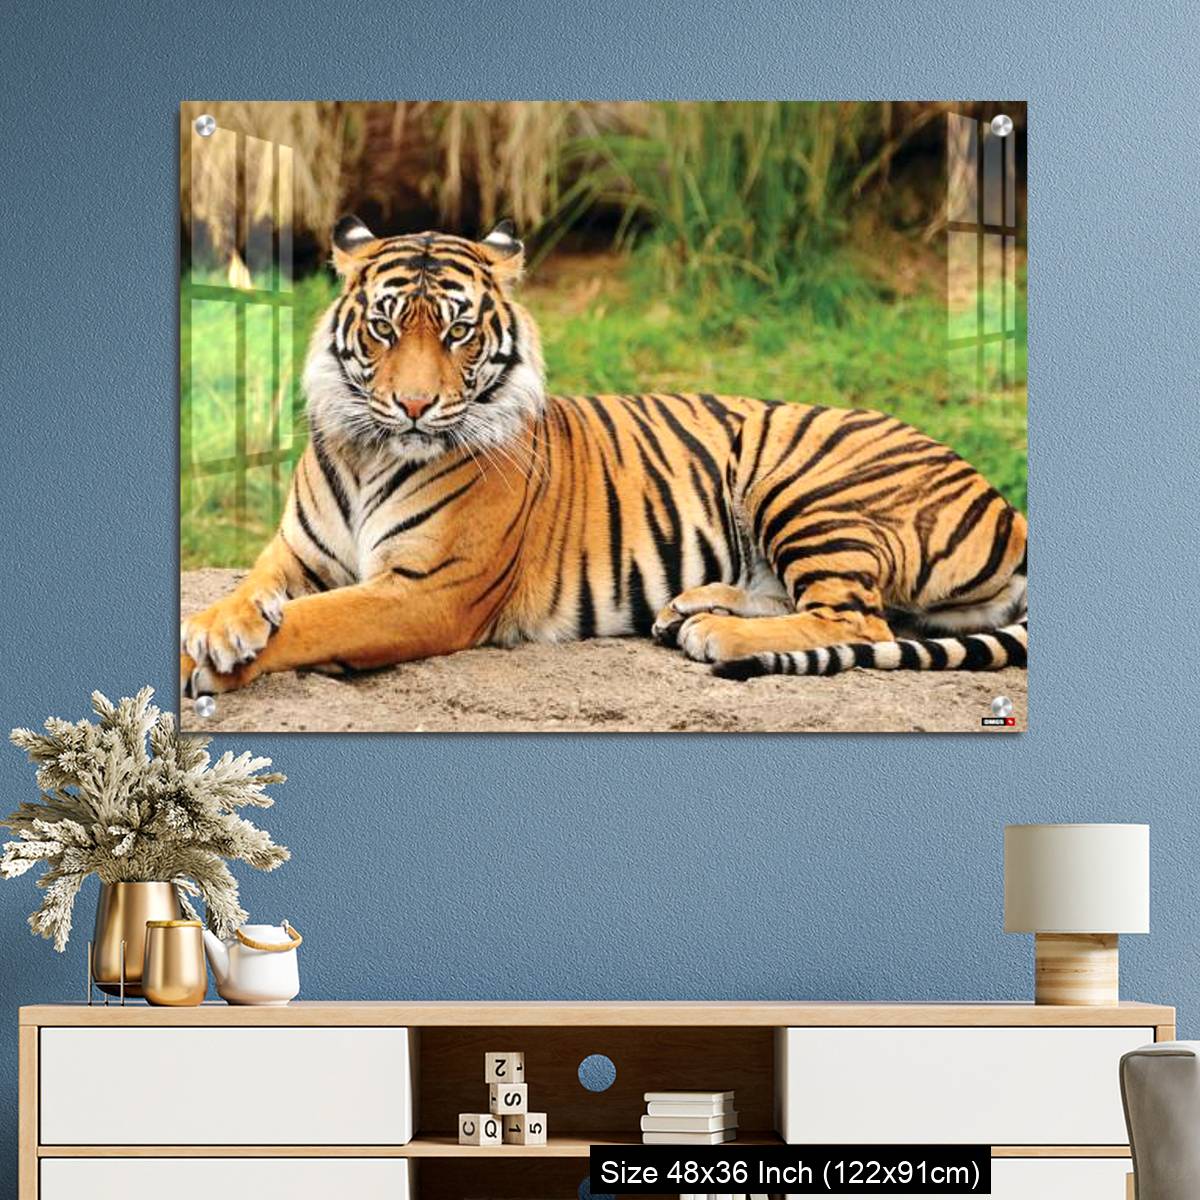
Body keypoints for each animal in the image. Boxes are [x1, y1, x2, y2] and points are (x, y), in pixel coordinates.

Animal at [180, 216, 1027, 697]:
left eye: (457, 331)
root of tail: (1010, 510)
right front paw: (218, 626)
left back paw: (717, 634)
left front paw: (210, 661)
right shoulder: (296, 552)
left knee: (856, 617)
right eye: (385, 328)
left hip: (806, 487)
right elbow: (256, 590)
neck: (367, 452)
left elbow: (313, 621)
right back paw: (692, 607)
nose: (415, 406)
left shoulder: (426, 590)